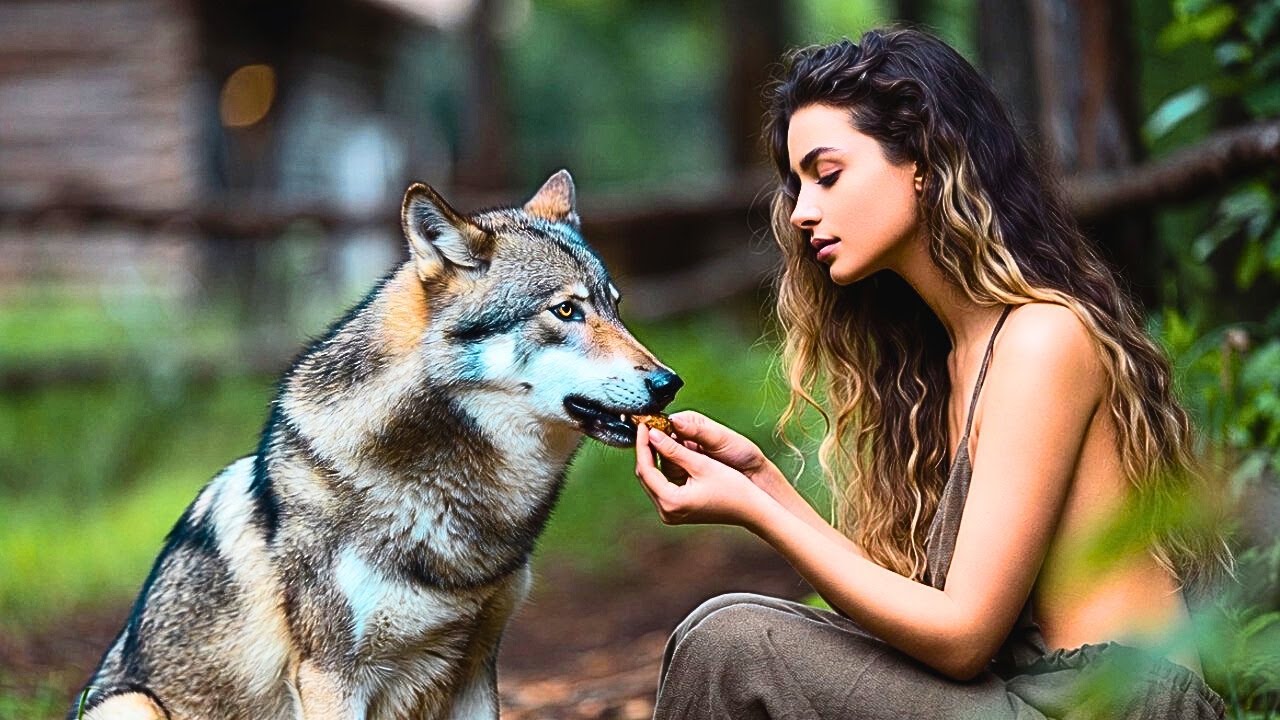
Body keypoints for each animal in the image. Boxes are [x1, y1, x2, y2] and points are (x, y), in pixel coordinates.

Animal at [72, 170, 682, 720]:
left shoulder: (477, 669)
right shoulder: (331, 678)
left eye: (615, 307)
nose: (668, 382)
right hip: (129, 704)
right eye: (565, 310)